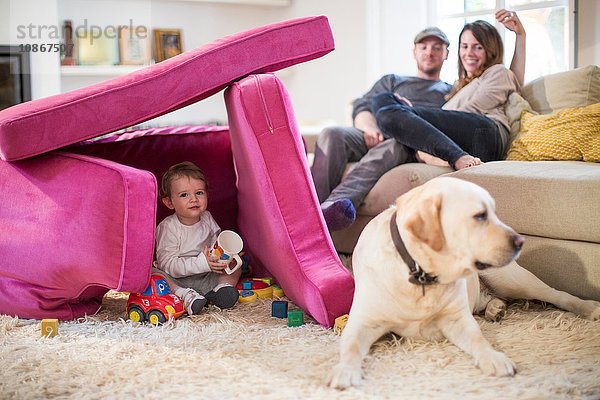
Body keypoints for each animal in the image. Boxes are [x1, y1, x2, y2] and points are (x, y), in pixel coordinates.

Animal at [330, 177, 596, 390]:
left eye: (494, 212)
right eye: (480, 216)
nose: (521, 241)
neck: (419, 273)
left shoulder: (457, 319)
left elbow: (478, 338)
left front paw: (494, 358)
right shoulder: (362, 322)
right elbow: (350, 346)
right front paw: (345, 371)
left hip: (511, 279)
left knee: (556, 293)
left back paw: (589, 307)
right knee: (490, 300)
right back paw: (495, 309)